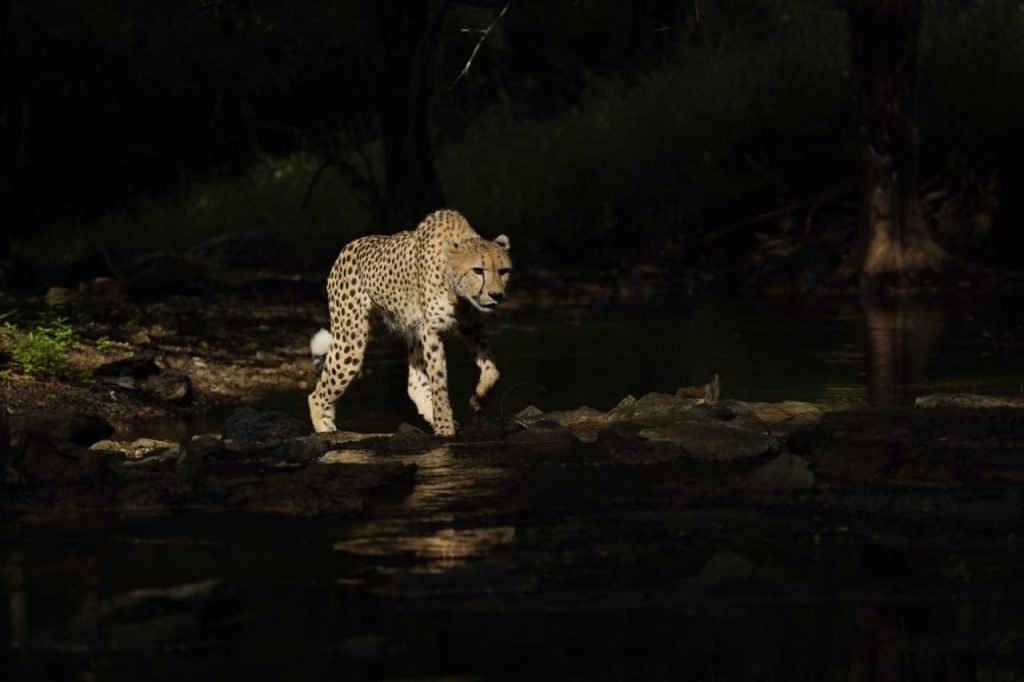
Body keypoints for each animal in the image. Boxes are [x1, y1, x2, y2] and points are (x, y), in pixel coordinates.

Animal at [307, 209, 512, 436]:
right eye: (478, 270)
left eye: (503, 271)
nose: (496, 295)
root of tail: (348, 247)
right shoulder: (431, 330)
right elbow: (438, 382)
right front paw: (444, 428)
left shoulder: (469, 323)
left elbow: (491, 368)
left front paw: (479, 397)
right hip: (351, 341)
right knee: (317, 394)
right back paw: (325, 430)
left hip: (412, 331)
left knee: (415, 386)